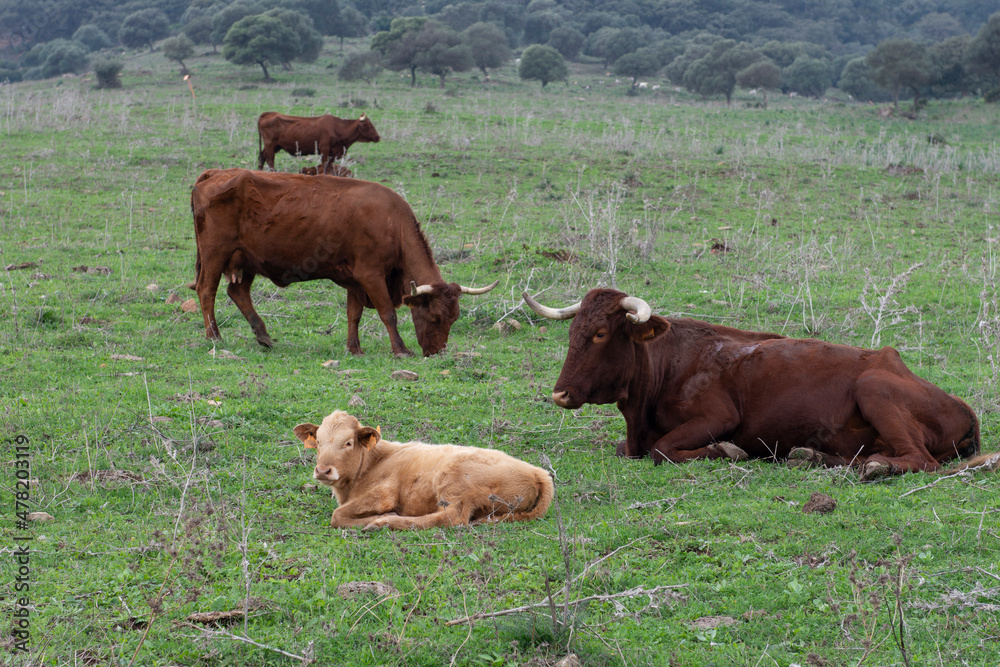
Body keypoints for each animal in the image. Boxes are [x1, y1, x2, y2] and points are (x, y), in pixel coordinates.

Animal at [190, 170, 496, 358]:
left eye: (454, 318)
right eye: (434, 317)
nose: (436, 353)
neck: (392, 223)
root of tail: (215, 173)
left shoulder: (355, 281)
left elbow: (354, 315)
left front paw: (354, 349)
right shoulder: (371, 275)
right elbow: (388, 313)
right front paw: (400, 349)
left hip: (246, 260)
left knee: (238, 292)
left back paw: (263, 335)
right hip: (216, 253)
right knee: (206, 290)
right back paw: (214, 336)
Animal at [292, 410, 556, 528]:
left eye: (348, 443)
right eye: (319, 442)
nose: (323, 471)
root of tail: (538, 472)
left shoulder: (384, 493)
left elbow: (337, 515)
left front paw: (376, 517)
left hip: (454, 483)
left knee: (452, 517)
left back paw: (385, 521)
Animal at [528, 288, 980, 480]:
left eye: (601, 333)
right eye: (573, 331)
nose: (560, 393)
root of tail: (965, 409)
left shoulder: (719, 415)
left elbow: (663, 450)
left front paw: (726, 451)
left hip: (874, 389)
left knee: (920, 459)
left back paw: (875, 467)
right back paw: (810, 456)